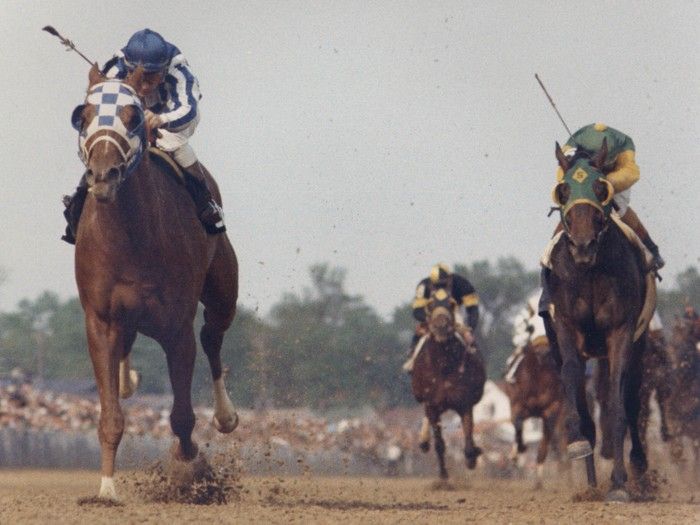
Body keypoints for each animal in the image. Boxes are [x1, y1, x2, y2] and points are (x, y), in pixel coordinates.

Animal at [70, 65, 241, 500]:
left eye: (133, 117)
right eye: (84, 115)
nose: (103, 175)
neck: (131, 237)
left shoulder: (176, 324)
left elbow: (182, 415)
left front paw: (191, 470)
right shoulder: (101, 320)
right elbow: (110, 415)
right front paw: (107, 490)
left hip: (223, 292)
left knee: (212, 337)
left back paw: (226, 416)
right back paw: (128, 380)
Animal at [410, 286, 486, 478]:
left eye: (451, 304)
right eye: (430, 304)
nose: (441, 326)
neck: (443, 366)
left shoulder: (464, 403)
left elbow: (468, 443)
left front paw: (473, 457)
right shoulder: (432, 405)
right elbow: (439, 444)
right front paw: (443, 475)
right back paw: (424, 441)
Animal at [540, 138, 656, 500]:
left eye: (600, 188)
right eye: (563, 189)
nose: (582, 245)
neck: (589, 272)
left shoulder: (621, 331)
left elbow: (618, 403)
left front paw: (618, 483)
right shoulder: (565, 326)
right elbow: (572, 379)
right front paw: (580, 445)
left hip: (639, 343)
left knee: (630, 399)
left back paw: (638, 468)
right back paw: (592, 480)